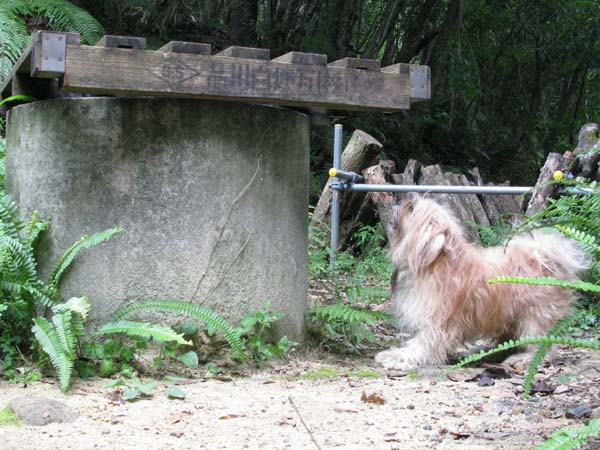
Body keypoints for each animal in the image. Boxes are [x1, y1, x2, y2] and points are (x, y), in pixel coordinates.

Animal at [375, 195, 590, 370]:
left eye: (411, 209)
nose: (398, 202)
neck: (436, 261)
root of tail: (545, 256)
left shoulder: (437, 321)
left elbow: (422, 344)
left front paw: (399, 357)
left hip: (536, 317)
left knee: (542, 347)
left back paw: (523, 358)